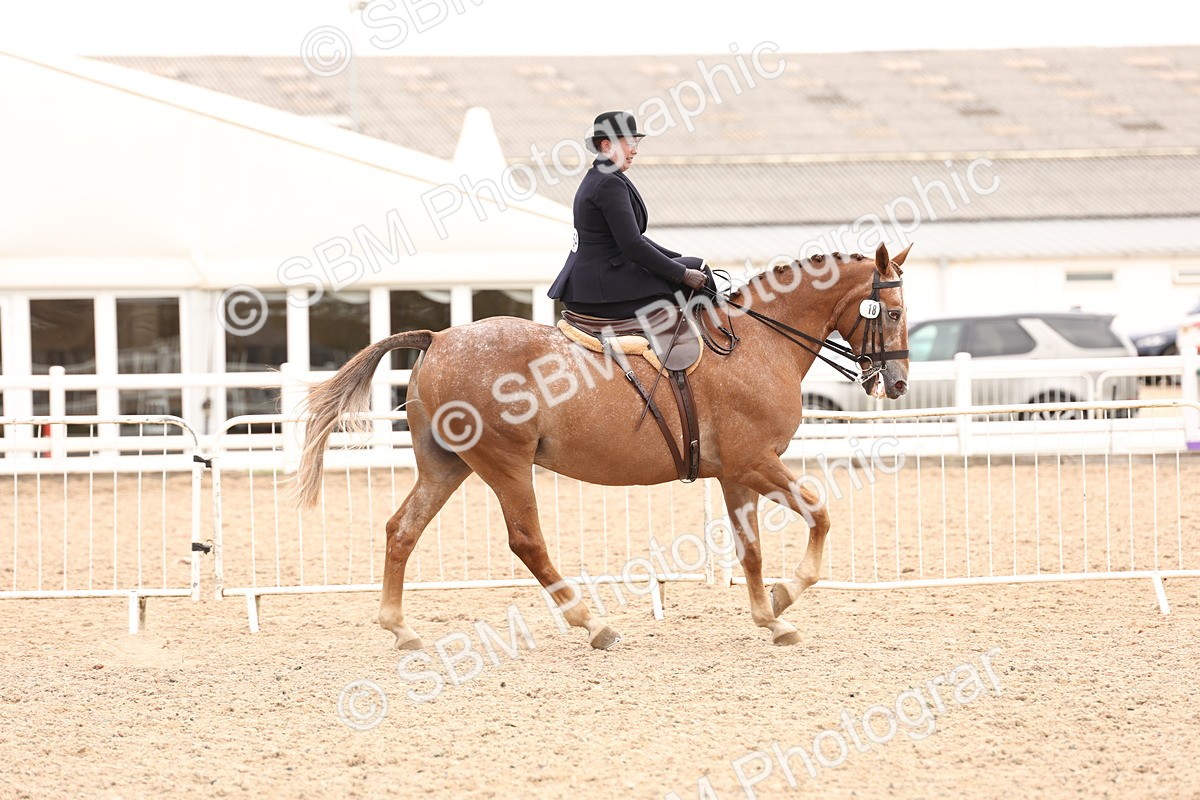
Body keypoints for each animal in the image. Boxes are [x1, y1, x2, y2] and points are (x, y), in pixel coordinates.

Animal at [292, 242, 911, 650]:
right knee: (526, 542)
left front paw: (769, 616)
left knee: (403, 530)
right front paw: (785, 597)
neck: (758, 342)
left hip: (446, 466)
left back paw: (401, 630)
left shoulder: (738, 472)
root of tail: (438, 337)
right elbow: (820, 513)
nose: (898, 383)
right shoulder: (756, 462)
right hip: (505, 463)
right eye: (895, 312)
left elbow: (751, 549)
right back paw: (594, 625)